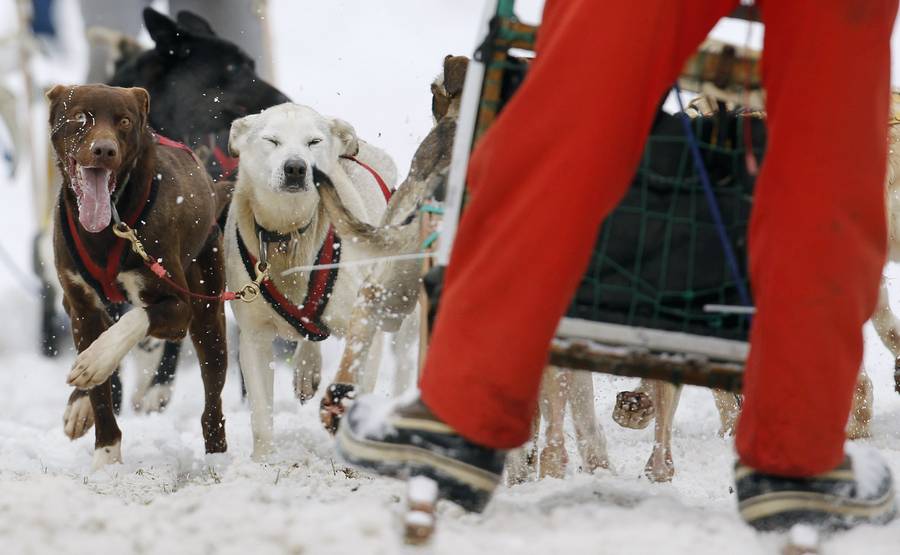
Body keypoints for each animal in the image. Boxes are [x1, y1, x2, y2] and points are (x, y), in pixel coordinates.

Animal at [47, 84, 230, 470]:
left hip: (208, 313)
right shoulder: (82, 309)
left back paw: (217, 460)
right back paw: (80, 402)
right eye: (80, 116)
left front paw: (96, 359)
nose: (104, 150)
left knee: (212, 402)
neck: (107, 229)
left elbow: (134, 323)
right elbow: (102, 396)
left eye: (124, 121)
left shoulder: (179, 307)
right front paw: (106, 458)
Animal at [223, 102, 396, 458]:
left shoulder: (364, 322)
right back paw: (307, 368)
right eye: (272, 140)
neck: (290, 235)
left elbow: (358, 381)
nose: (295, 167)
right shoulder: (254, 337)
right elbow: (261, 414)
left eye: (313, 141)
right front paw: (262, 462)